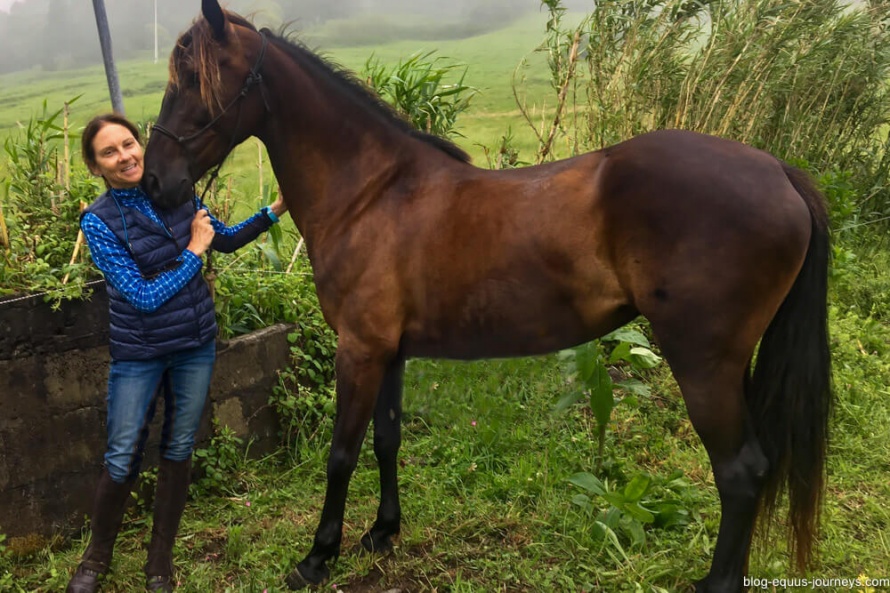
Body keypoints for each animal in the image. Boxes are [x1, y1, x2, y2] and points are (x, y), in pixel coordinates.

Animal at [144, 2, 832, 588]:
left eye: (194, 79)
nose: (153, 181)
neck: (371, 193)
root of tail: (779, 171)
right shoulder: (389, 351)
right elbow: (387, 439)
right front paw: (382, 532)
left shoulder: (359, 350)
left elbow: (341, 453)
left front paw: (318, 557)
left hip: (703, 364)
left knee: (740, 473)